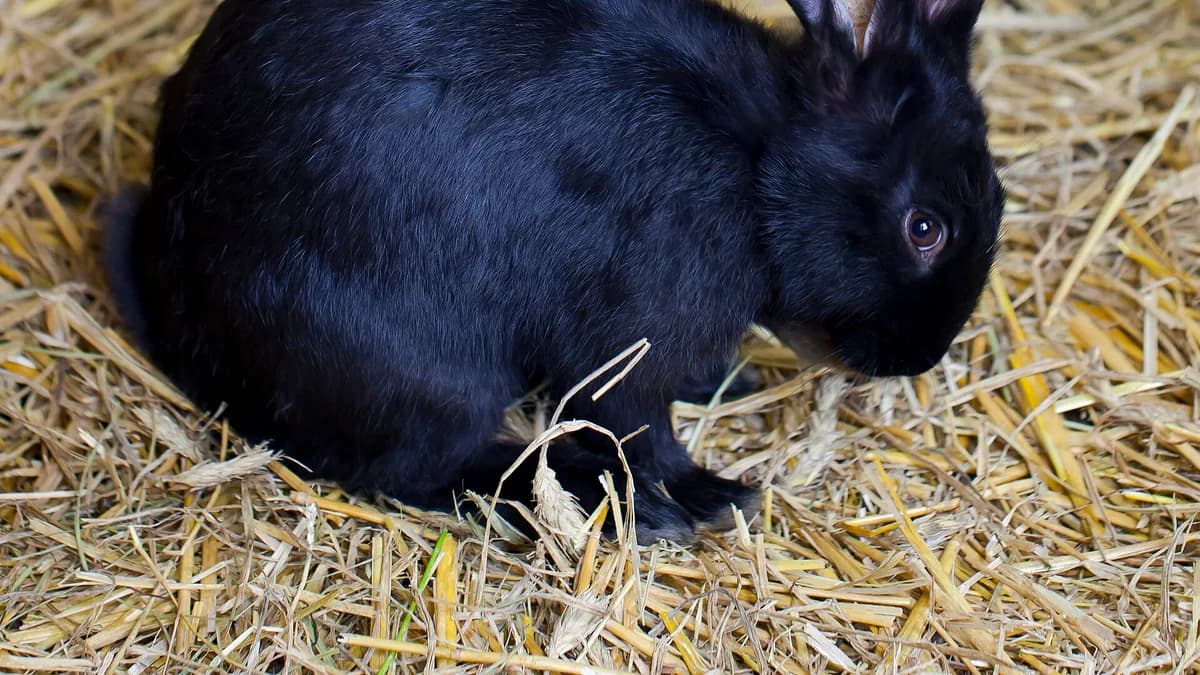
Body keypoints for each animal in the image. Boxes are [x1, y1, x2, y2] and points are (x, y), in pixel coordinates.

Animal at [105, 0, 1004, 544]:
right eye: (926, 228)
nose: (921, 357)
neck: (756, 164)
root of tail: (187, 323)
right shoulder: (626, 336)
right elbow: (641, 428)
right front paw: (707, 498)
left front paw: (729, 383)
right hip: (420, 370)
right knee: (420, 466)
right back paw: (589, 495)